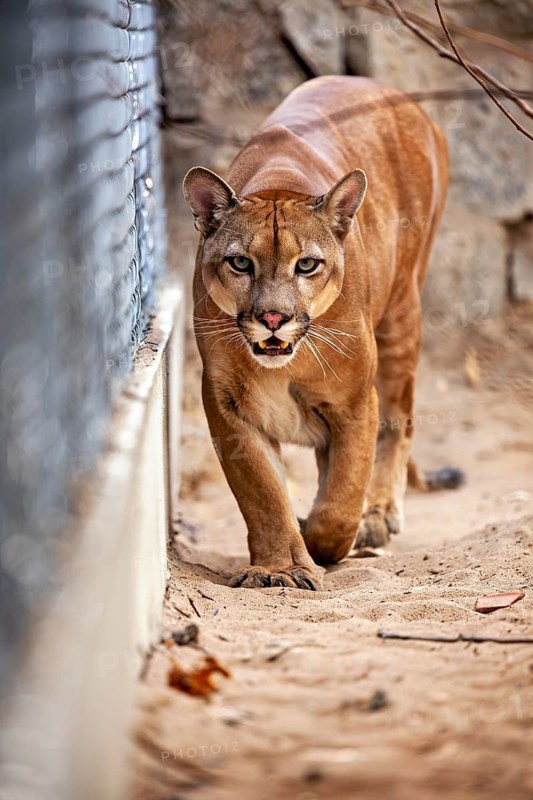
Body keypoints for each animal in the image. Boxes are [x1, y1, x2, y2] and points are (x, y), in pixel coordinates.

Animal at [183, 76, 457, 591]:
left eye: (307, 264)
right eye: (240, 262)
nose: (273, 318)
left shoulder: (354, 401)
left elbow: (341, 498)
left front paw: (319, 538)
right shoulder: (226, 403)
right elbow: (262, 492)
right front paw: (281, 567)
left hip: (402, 314)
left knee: (401, 419)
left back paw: (378, 515)